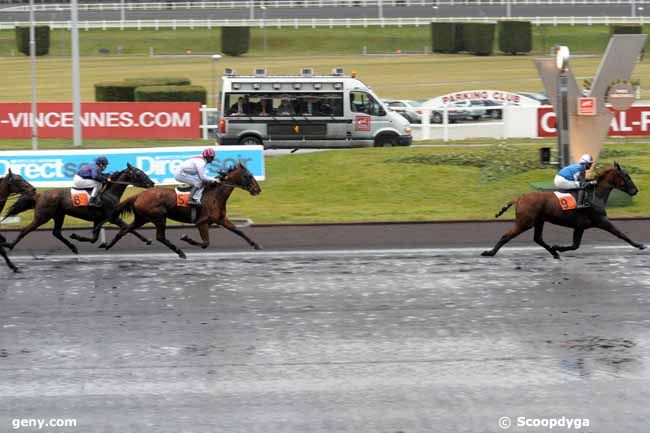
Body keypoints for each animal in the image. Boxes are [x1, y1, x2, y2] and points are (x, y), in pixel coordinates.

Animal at [1, 164, 155, 255]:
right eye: (139, 173)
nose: (152, 183)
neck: (109, 193)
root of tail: (39, 195)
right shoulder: (112, 217)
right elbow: (128, 227)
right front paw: (146, 240)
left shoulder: (98, 219)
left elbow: (94, 238)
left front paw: (78, 237)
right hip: (43, 216)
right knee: (25, 230)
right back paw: (10, 245)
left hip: (59, 215)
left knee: (56, 232)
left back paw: (73, 247)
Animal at [102, 161, 260, 256]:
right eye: (248, 175)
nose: (258, 189)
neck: (215, 195)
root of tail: (139, 195)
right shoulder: (201, 222)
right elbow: (205, 243)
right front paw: (186, 238)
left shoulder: (221, 219)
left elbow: (239, 231)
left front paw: (255, 244)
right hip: (159, 216)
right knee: (160, 237)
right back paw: (179, 251)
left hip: (142, 218)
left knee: (124, 230)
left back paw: (108, 246)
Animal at [480, 161, 644, 256]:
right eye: (627, 176)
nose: (635, 190)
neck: (595, 194)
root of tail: (520, 198)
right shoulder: (602, 220)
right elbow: (621, 234)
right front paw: (639, 245)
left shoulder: (580, 226)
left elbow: (575, 245)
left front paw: (558, 247)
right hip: (525, 222)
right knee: (506, 236)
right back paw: (490, 252)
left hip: (539, 221)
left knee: (538, 238)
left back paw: (554, 252)